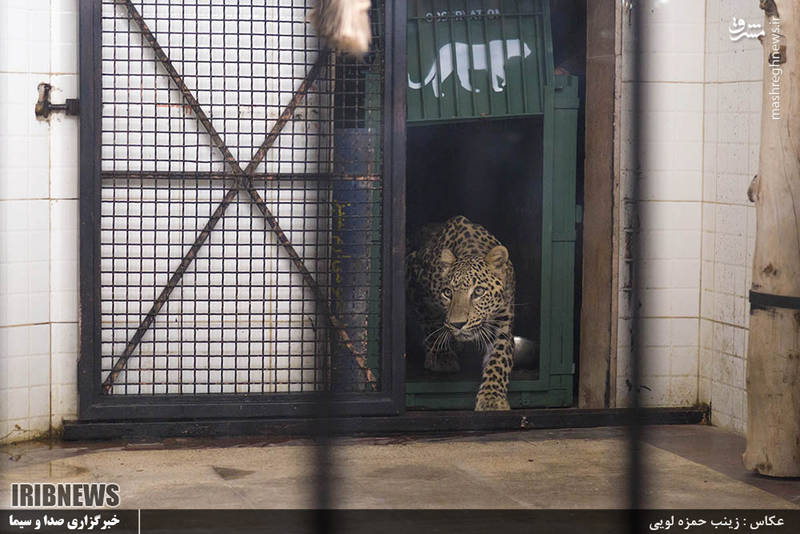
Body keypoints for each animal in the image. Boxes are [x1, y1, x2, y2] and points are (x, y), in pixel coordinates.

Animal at [410, 216, 516, 412]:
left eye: (478, 292)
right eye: (447, 293)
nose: (457, 324)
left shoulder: (502, 323)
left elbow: (498, 360)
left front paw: (492, 399)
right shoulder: (414, 283)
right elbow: (431, 323)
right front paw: (441, 356)